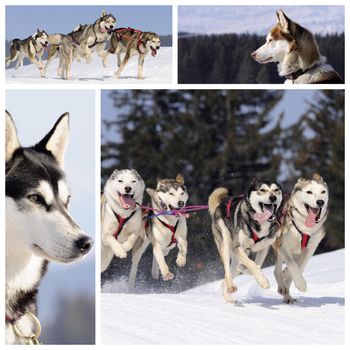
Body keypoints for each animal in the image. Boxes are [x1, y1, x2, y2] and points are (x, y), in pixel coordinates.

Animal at [274, 174, 330, 304]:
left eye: (323, 192)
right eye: (309, 192)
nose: (320, 202)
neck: (304, 228)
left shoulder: (310, 248)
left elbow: (300, 266)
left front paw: (292, 278)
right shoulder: (282, 246)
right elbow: (292, 265)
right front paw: (301, 284)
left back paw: (287, 293)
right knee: (277, 270)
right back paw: (283, 287)